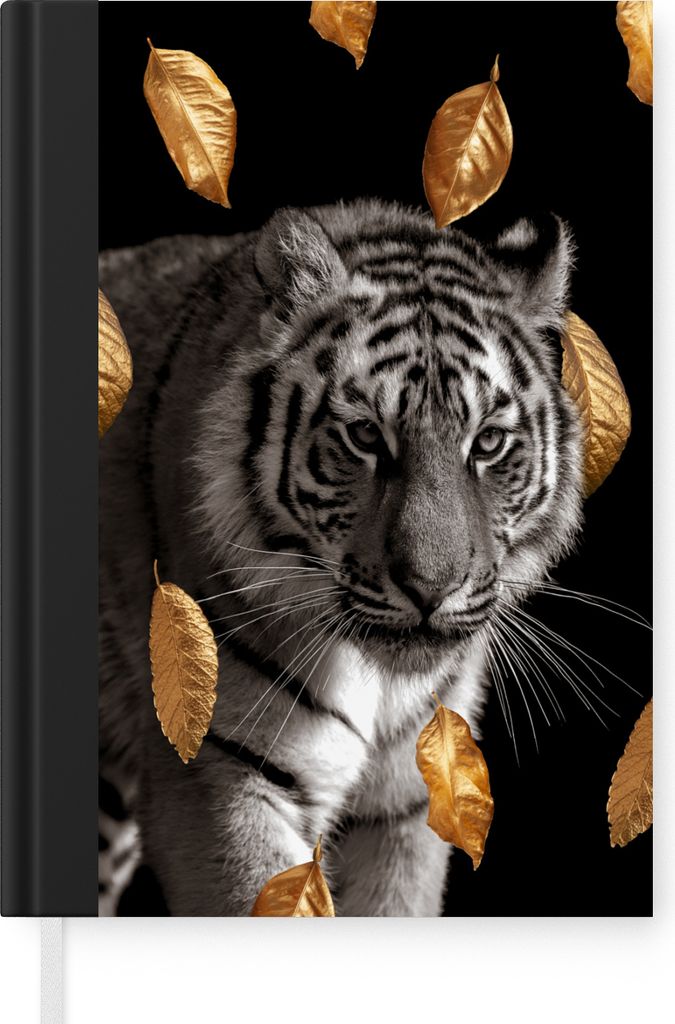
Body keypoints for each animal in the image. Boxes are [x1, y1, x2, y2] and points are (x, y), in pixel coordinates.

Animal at [98, 198, 583, 916]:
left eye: (488, 443)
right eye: (364, 436)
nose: (430, 589)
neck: (379, 683)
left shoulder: (409, 802)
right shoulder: (220, 774)